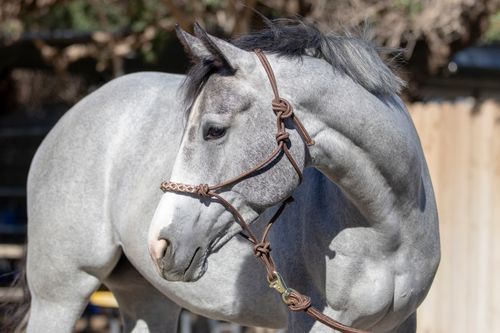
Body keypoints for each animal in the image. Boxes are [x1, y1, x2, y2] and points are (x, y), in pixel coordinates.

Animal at [14, 19, 438, 330]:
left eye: (213, 130)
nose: (160, 243)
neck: (388, 228)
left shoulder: (399, 325)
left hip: (147, 298)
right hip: (62, 294)